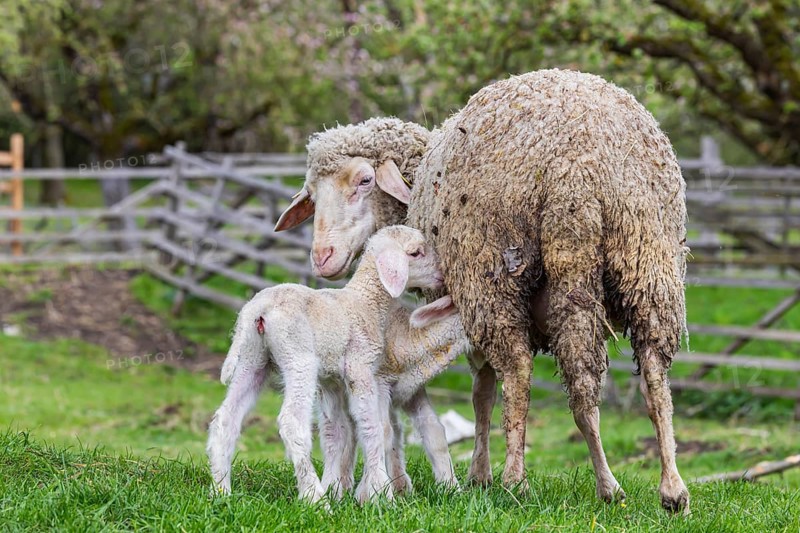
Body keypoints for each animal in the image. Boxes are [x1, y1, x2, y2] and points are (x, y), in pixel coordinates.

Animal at [206, 225, 459, 504]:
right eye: (416, 252)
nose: (442, 276)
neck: (367, 302)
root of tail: (259, 309)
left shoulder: (331, 380)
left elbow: (339, 431)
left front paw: (345, 488)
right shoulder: (361, 368)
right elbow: (372, 428)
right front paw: (380, 493)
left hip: (253, 358)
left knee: (225, 419)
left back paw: (221, 490)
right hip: (298, 357)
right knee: (292, 422)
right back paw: (314, 497)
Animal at [275, 68, 691, 513]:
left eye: (364, 181)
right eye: (312, 195)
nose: (322, 258)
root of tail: (580, 164)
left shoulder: (464, 304)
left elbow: (483, 392)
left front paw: (479, 474)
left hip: (493, 275)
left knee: (521, 372)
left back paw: (518, 481)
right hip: (647, 260)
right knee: (644, 376)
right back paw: (658, 488)